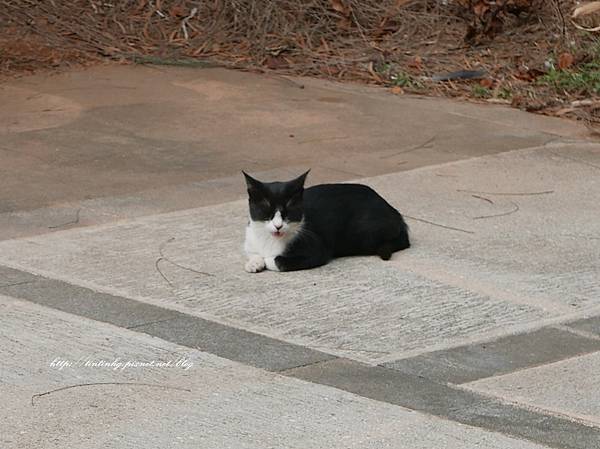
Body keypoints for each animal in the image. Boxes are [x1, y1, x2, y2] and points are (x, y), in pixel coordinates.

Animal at [243, 170, 408, 272]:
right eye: (267, 210)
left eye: (288, 211)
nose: (278, 226)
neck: (269, 240)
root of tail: (395, 212)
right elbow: (251, 251)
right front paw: (254, 262)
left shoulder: (317, 250)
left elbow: (277, 260)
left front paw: (266, 260)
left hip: (365, 234)